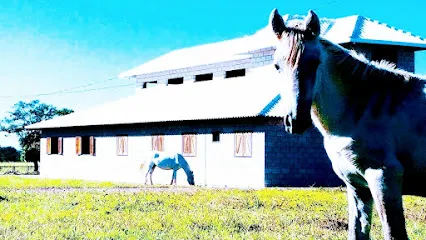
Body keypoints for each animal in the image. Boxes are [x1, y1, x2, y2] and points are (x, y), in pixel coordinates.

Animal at [270, 7, 426, 240]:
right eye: (277, 66)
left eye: (315, 63)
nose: (295, 120)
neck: (363, 107)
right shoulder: (357, 187)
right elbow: (356, 232)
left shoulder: (384, 179)